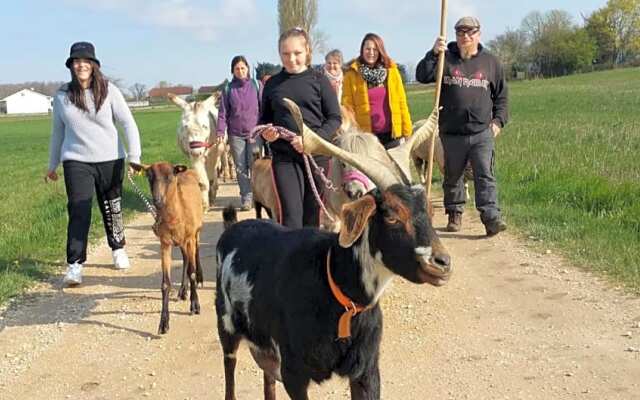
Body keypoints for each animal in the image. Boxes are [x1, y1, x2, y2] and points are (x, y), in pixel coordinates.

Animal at [128, 161, 202, 332]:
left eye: (169, 177)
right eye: (149, 177)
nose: (157, 200)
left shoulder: (189, 238)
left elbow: (192, 272)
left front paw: (195, 305)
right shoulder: (165, 243)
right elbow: (165, 284)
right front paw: (163, 322)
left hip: (195, 233)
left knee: (195, 256)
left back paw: (198, 280)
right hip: (181, 242)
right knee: (185, 260)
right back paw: (182, 291)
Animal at [214, 99, 450, 400]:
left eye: (429, 210)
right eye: (391, 214)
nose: (442, 263)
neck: (333, 285)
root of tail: (233, 228)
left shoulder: (367, 370)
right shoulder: (294, 373)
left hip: (264, 347)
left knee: (267, 379)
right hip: (227, 329)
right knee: (229, 376)